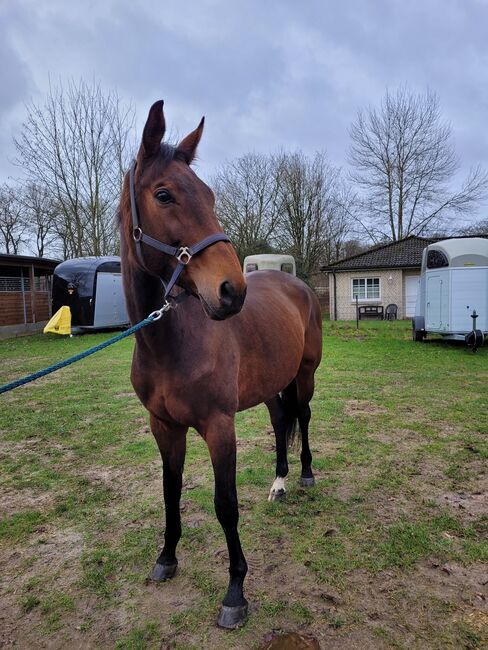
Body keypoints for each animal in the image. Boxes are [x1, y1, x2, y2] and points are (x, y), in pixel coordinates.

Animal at [119, 101, 322, 628]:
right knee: (281, 420)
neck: (170, 343)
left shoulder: (218, 426)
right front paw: (166, 558)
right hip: (272, 383)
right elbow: (170, 491)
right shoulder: (164, 426)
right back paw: (279, 483)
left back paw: (306, 475)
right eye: (164, 194)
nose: (232, 291)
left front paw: (235, 593)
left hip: (305, 374)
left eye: (209, 195)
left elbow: (225, 505)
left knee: (303, 416)